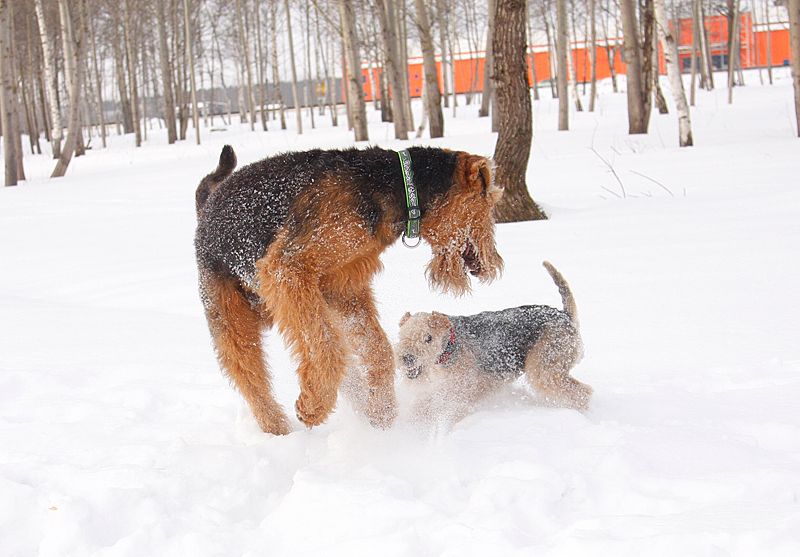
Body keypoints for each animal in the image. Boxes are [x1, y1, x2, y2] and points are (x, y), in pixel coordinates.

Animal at [195, 146, 500, 432]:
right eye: (490, 203)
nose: (495, 265)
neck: (397, 185)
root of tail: (207, 205)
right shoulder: (288, 269)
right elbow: (326, 347)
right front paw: (313, 407)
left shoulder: (343, 287)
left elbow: (377, 349)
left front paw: (382, 413)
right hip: (231, 317)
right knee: (251, 377)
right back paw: (279, 428)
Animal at [396, 260, 592, 422]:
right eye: (401, 335)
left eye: (428, 338)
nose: (407, 358)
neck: (448, 348)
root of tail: (565, 315)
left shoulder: (460, 393)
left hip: (545, 371)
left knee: (582, 393)